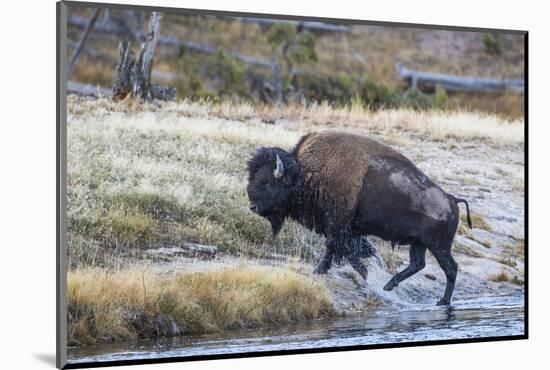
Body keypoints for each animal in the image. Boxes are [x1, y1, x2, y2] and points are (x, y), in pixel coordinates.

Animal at [247, 131, 474, 306]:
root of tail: (452, 199)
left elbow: (338, 247)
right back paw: (389, 286)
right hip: (419, 244)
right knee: (418, 264)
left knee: (450, 268)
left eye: (267, 183)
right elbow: (344, 248)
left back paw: (442, 301)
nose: (253, 207)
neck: (306, 172)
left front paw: (334, 270)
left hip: (438, 246)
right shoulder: (343, 228)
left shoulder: (337, 224)